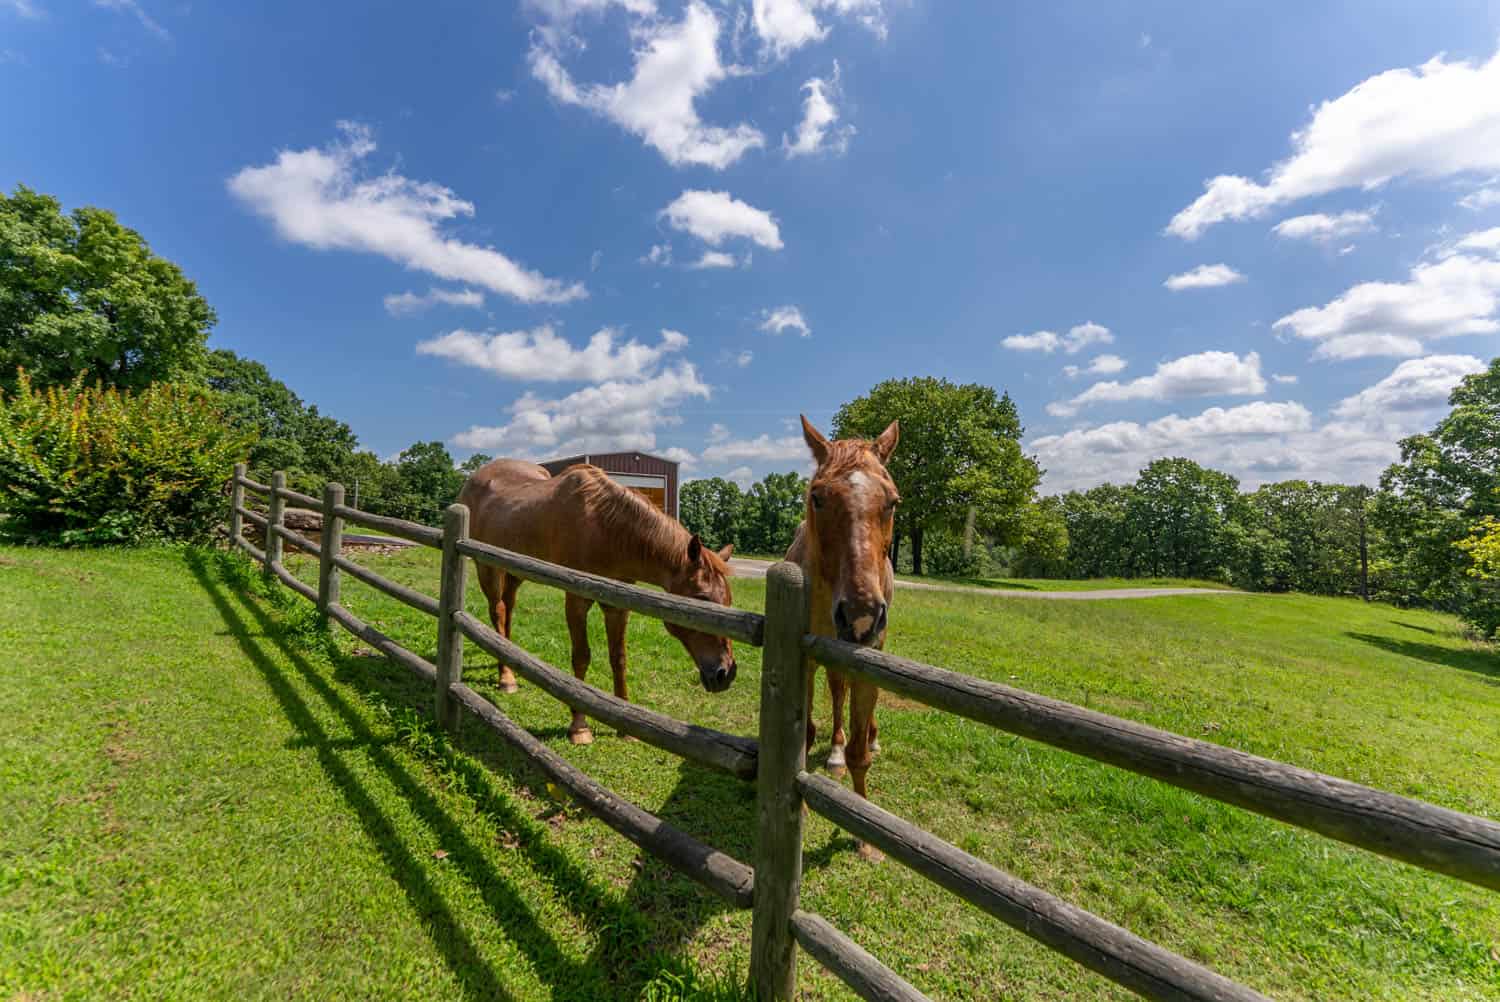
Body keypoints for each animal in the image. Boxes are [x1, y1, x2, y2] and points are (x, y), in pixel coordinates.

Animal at [459, 458, 737, 745]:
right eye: (701, 599)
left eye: (728, 600)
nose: (725, 674)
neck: (605, 529)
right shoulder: (576, 600)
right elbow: (581, 657)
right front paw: (579, 727)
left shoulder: (618, 605)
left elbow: (619, 658)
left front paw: (627, 728)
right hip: (489, 569)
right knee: (498, 612)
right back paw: (506, 678)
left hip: (515, 572)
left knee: (508, 611)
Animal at [785, 415, 900, 857]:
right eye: (817, 497)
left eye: (892, 501)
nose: (861, 616)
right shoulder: (805, 659)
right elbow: (807, 732)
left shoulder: (871, 659)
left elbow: (859, 754)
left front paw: (865, 837)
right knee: (835, 693)